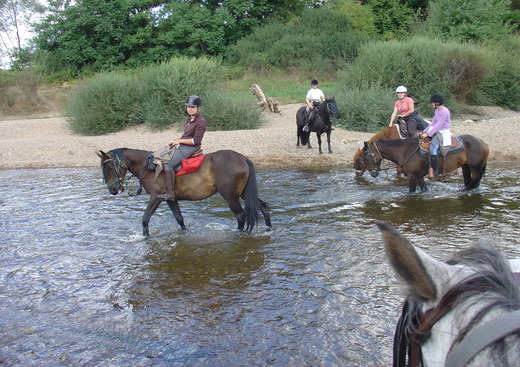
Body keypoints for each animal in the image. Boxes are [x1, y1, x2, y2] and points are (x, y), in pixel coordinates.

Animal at [96, 149, 272, 237]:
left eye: (110, 167)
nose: (113, 190)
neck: (149, 167)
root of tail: (243, 158)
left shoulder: (156, 197)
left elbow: (145, 218)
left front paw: (145, 236)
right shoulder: (170, 199)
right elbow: (179, 218)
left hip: (230, 196)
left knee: (241, 216)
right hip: (243, 193)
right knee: (263, 206)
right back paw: (269, 229)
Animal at [360, 135, 490, 193]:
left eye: (366, 157)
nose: (372, 173)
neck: (406, 151)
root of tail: (483, 143)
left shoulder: (413, 177)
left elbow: (411, 192)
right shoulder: (419, 177)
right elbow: (424, 189)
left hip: (476, 168)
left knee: (474, 182)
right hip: (466, 167)